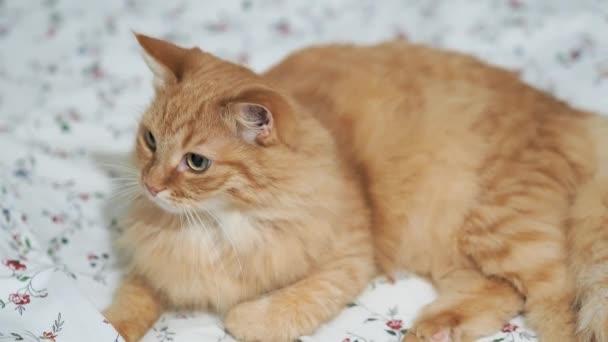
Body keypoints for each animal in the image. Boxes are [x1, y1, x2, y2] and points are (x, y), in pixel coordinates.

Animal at [104, 34, 608, 342]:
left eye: (196, 162)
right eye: (150, 141)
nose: (150, 185)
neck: (217, 227)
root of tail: (571, 114)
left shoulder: (346, 258)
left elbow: (277, 310)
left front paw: (241, 316)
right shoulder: (153, 267)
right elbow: (127, 306)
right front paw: (105, 326)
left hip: (498, 225)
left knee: (558, 297)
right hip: (457, 247)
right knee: (502, 290)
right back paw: (436, 327)